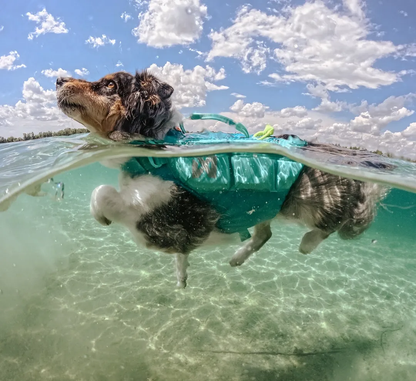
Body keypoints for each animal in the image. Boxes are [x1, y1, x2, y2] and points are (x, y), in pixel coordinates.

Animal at [55, 71, 386, 286]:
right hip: (264, 205)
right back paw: (238, 258)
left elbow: (103, 193)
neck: (155, 150)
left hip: (312, 200)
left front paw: (102, 216)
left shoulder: (164, 221)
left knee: (337, 221)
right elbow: (181, 257)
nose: (57, 79)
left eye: (109, 84)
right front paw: (182, 275)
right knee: (265, 234)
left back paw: (308, 242)